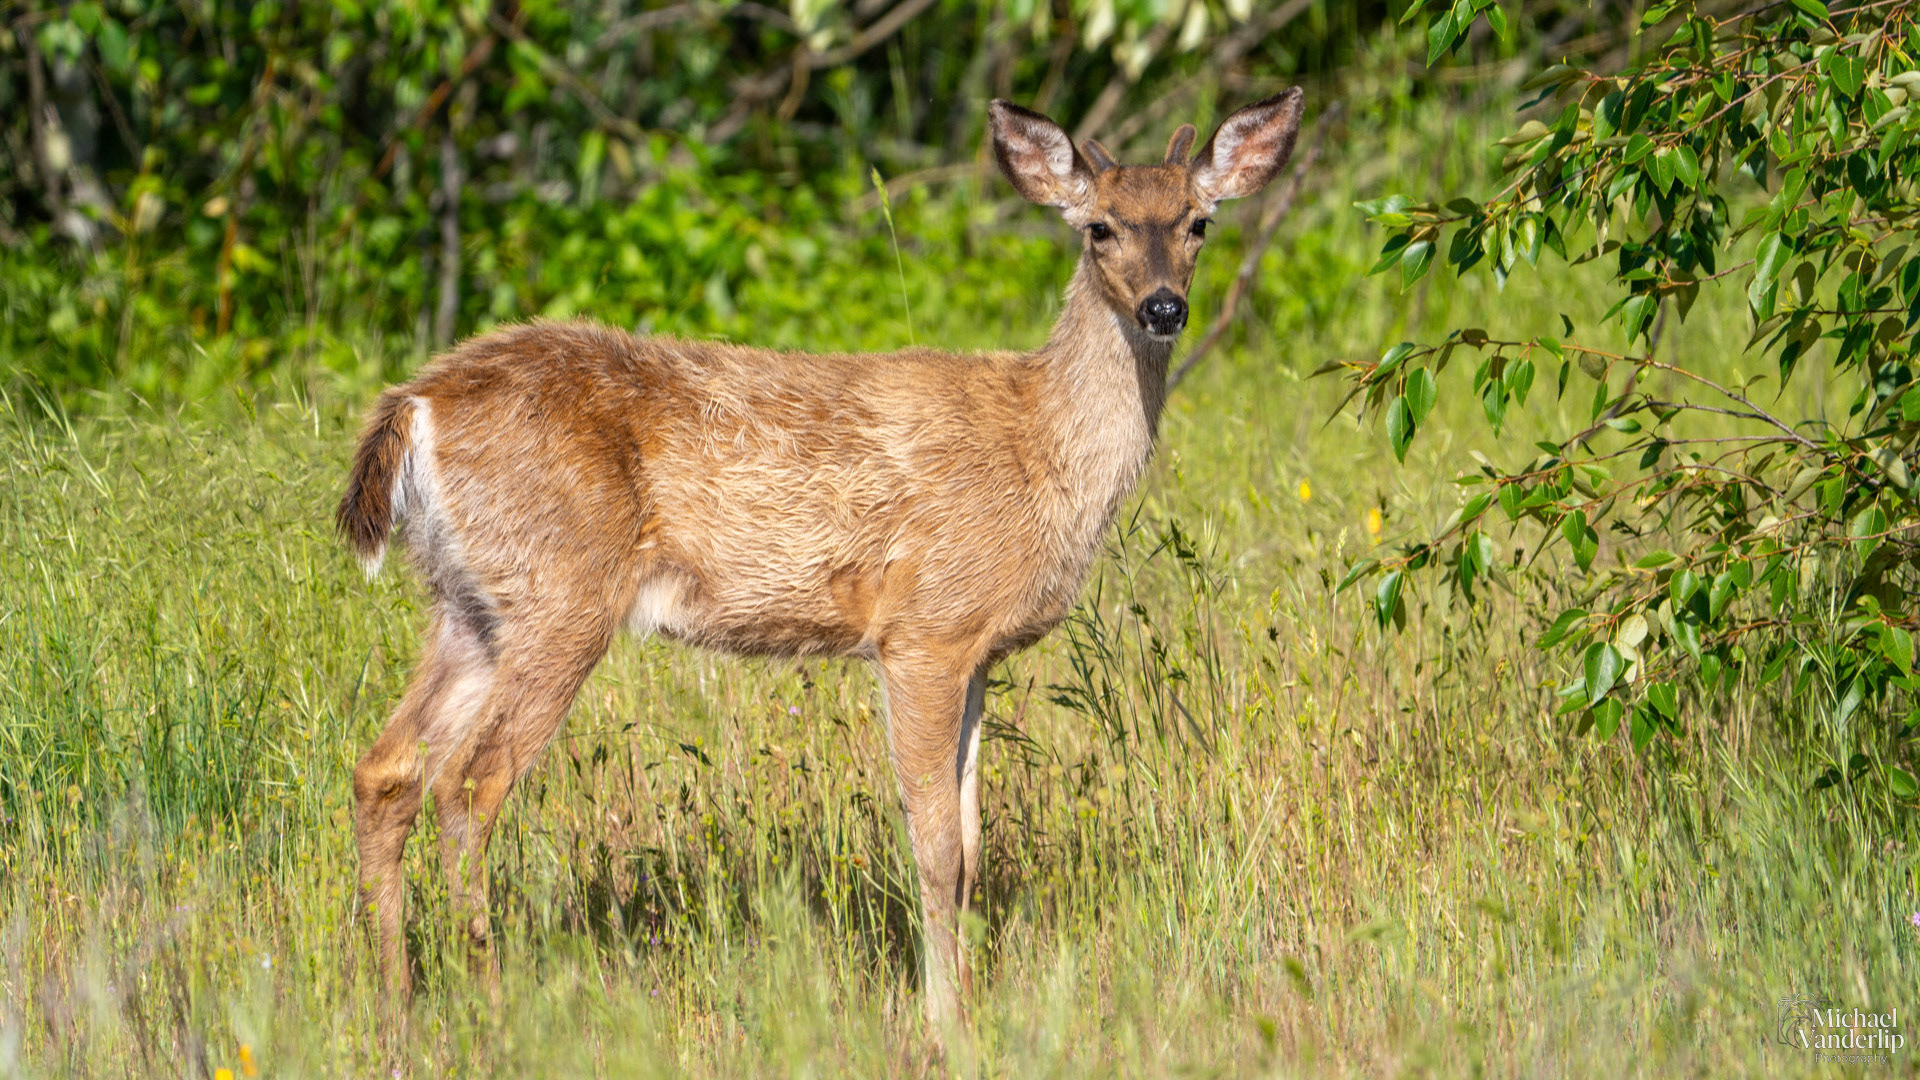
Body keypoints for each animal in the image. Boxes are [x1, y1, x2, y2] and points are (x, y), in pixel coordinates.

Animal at [336, 88, 1306, 1035]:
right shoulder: (923, 628)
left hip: (471, 602)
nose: (1164, 308)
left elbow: (972, 842)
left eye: (1199, 221)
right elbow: (936, 846)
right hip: (560, 595)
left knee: (388, 770)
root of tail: (416, 405)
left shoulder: (975, 650)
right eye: (1099, 227)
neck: (1040, 456)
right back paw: (491, 1010)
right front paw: (946, 1024)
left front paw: (966, 1003)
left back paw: (395, 1010)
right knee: (471, 783)